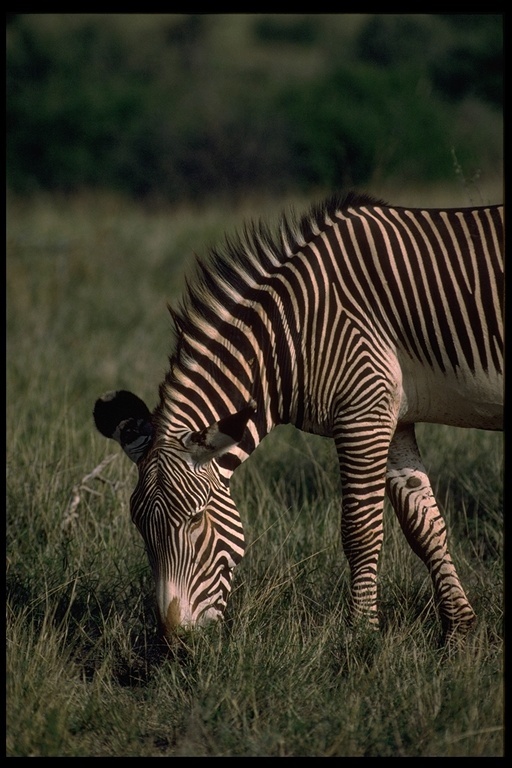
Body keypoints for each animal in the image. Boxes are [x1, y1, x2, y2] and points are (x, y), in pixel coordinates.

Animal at [93, 190, 504, 640]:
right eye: (139, 527)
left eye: (197, 520)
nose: (176, 640)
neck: (294, 332)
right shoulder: (392, 416)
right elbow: (424, 526)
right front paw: (459, 630)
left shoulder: (362, 412)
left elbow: (360, 529)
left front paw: (360, 633)